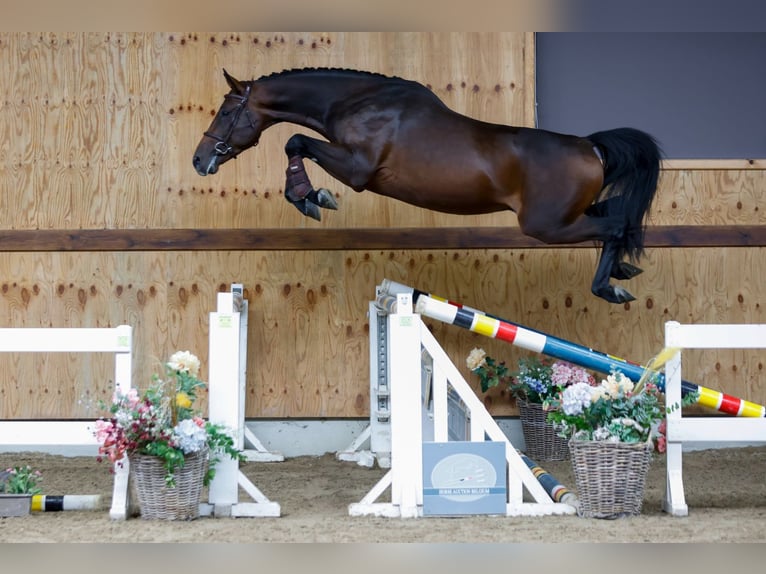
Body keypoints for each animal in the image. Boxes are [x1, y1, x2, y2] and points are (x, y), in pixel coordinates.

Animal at [194, 68, 664, 306]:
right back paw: (623, 269)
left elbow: (295, 141)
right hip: (566, 217)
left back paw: (609, 287)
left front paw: (310, 197)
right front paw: (310, 196)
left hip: (547, 226)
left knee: (616, 225)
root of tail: (590, 146)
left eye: (225, 112)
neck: (358, 101)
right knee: (618, 215)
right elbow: (296, 143)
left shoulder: (358, 169)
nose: (200, 161)